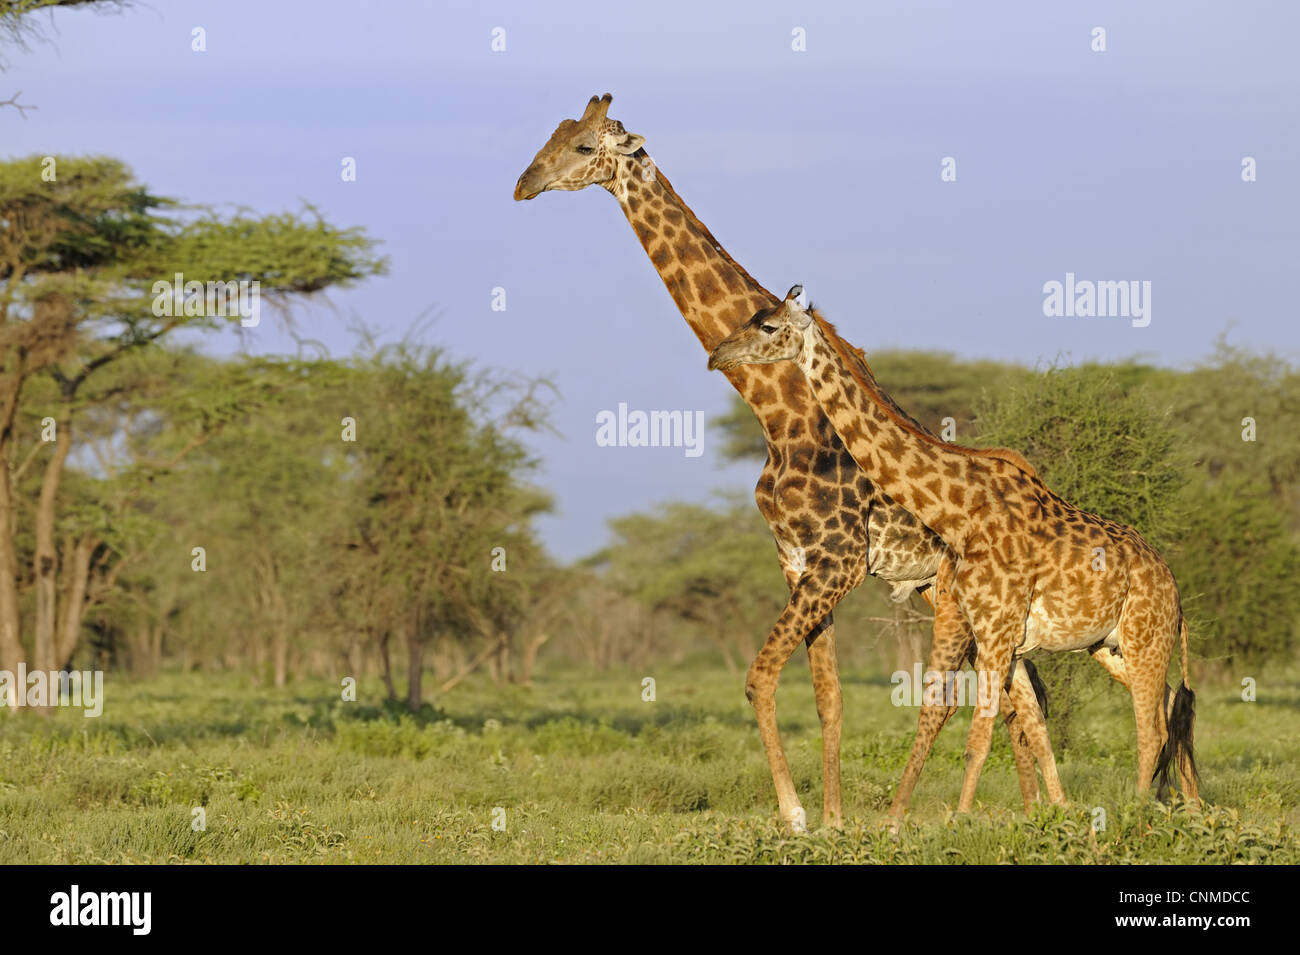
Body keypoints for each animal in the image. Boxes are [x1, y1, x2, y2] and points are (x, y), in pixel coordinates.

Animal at [512, 95, 1060, 831]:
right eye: (553, 133)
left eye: (580, 146)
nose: (523, 184)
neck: (778, 413)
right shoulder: (798, 562)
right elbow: (828, 698)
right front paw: (830, 818)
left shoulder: (836, 563)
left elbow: (759, 676)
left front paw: (796, 813)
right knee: (1022, 694)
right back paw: (1039, 812)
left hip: (961, 596)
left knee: (1003, 697)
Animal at [707, 285, 1201, 815]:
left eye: (768, 326)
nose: (717, 355)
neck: (959, 509)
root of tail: (1175, 591)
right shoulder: (985, 629)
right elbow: (992, 722)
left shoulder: (997, 628)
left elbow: (978, 736)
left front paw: (958, 821)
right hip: (1110, 645)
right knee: (1167, 707)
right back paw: (1176, 804)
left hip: (1145, 639)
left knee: (1150, 729)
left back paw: (1140, 811)